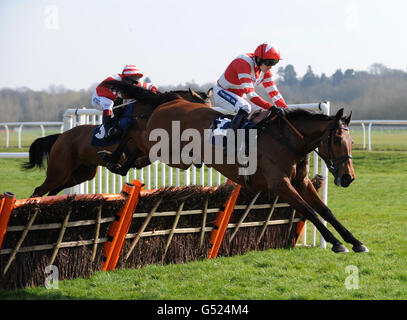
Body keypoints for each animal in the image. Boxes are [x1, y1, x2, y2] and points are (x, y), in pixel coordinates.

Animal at [24, 88, 214, 198]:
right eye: (201, 110)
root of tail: (61, 136)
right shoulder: (141, 141)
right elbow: (126, 143)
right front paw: (110, 158)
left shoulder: (145, 149)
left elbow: (130, 162)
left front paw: (114, 162)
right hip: (59, 171)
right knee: (39, 190)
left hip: (80, 174)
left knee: (52, 191)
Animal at [102, 80, 370, 255]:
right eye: (336, 141)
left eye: (352, 142)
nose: (348, 177)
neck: (288, 140)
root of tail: (175, 99)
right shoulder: (280, 184)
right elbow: (309, 210)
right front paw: (336, 243)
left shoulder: (301, 183)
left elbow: (326, 211)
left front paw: (355, 241)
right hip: (162, 147)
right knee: (133, 131)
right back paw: (112, 152)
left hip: (171, 156)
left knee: (137, 151)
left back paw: (118, 163)